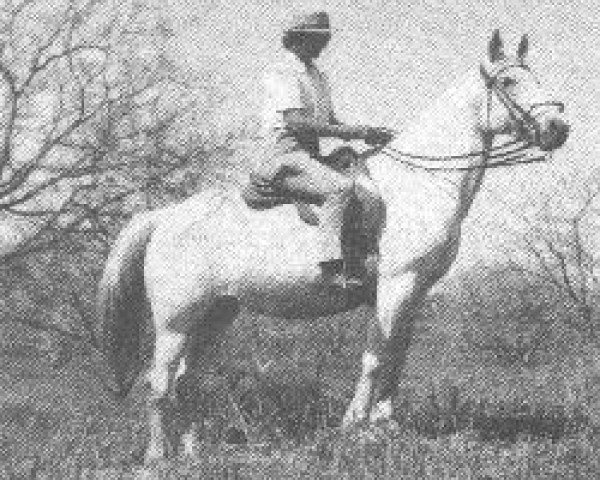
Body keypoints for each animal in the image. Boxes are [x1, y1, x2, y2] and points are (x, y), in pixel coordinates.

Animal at [97, 31, 568, 462]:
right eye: (509, 81)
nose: (558, 129)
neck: (420, 185)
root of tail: (162, 217)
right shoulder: (396, 286)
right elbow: (375, 359)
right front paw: (356, 426)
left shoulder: (413, 292)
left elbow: (396, 357)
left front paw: (385, 425)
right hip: (176, 321)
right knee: (159, 381)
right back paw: (157, 457)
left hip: (216, 314)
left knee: (185, 380)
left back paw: (194, 453)